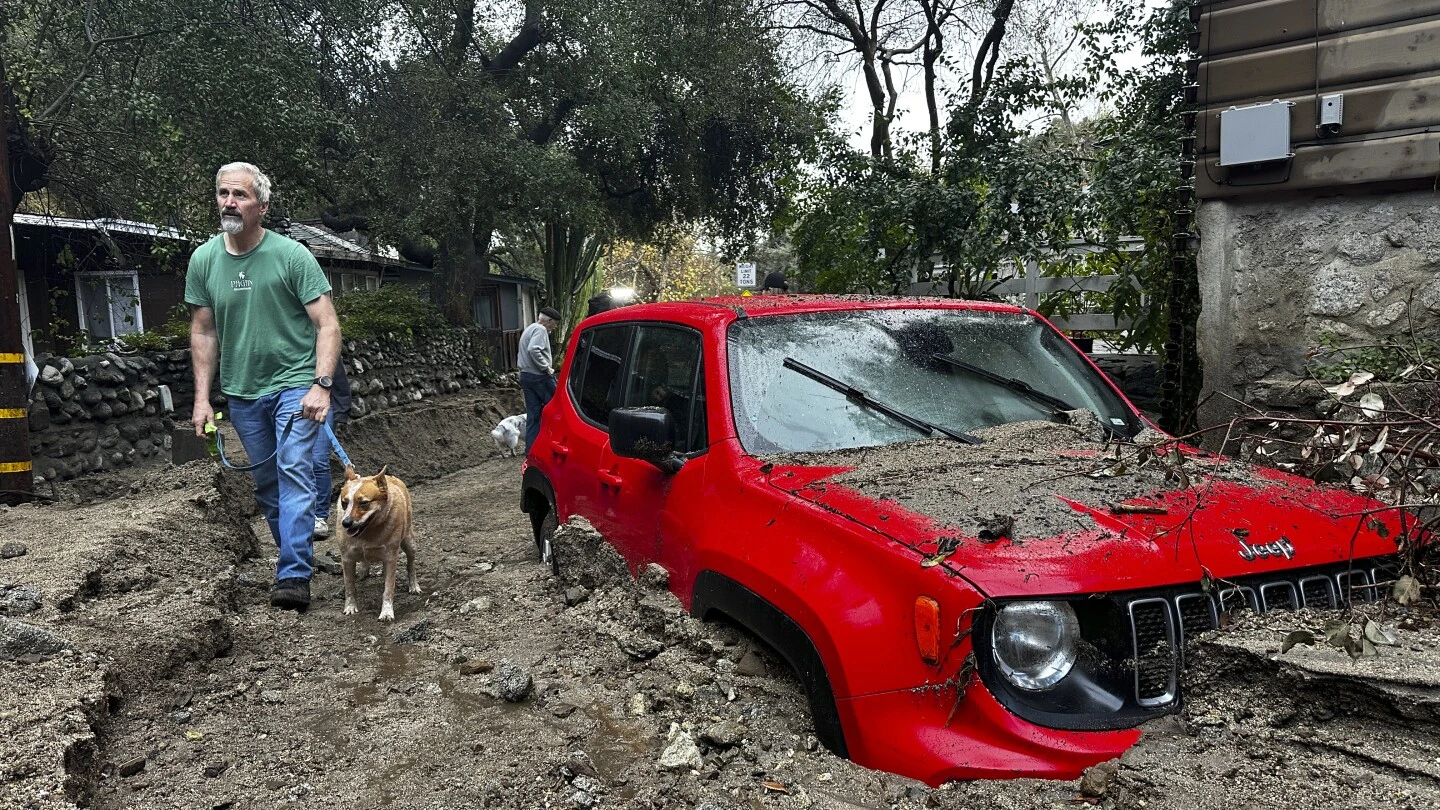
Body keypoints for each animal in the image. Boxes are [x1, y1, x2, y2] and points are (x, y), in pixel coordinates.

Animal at [338, 461, 420, 616]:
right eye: (344, 503)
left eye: (363, 503)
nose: (345, 523)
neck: (366, 533)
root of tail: (390, 477)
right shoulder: (347, 558)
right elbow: (349, 586)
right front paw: (350, 607)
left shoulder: (390, 557)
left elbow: (388, 588)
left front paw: (387, 612)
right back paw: (364, 570)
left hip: (409, 542)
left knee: (410, 564)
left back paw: (413, 585)